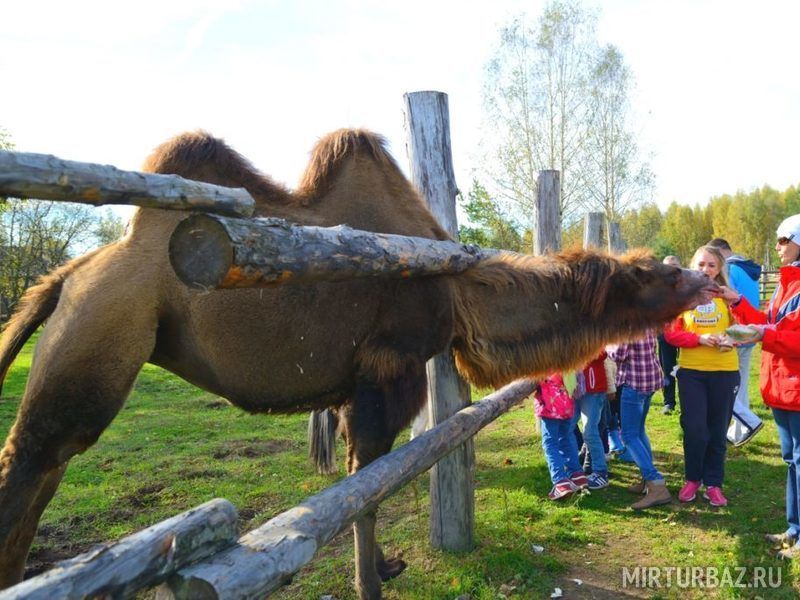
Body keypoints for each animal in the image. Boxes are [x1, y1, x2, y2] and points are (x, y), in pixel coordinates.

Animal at [0, 129, 716, 596]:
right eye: (657, 272)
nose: (706, 281)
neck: (455, 288)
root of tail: (65, 277)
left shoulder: (354, 389)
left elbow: (359, 484)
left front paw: (382, 568)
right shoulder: (385, 373)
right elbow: (364, 491)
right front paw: (373, 579)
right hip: (103, 330)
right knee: (33, 462)